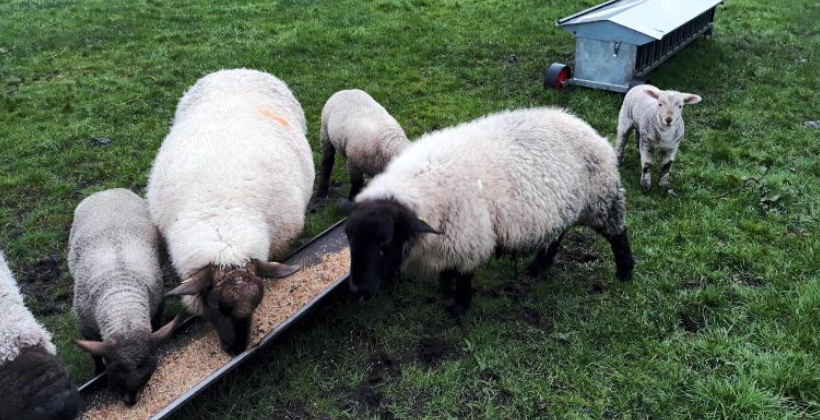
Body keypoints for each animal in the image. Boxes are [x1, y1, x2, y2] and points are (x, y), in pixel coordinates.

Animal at [70, 189, 179, 406]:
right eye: (115, 378)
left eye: (148, 375)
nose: (131, 402)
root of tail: (107, 191)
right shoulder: (85, 328)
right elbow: (95, 356)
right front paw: (98, 372)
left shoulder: (157, 307)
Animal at [342, 106, 636, 314]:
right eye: (350, 239)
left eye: (385, 242)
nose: (358, 290)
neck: (424, 183)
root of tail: (588, 128)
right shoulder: (450, 238)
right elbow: (448, 271)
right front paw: (444, 287)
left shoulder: (469, 237)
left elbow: (463, 276)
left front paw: (458, 307)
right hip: (563, 205)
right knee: (557, 234)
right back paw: (538, 267)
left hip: (601, 198)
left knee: (618, 234)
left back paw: (625, 272)